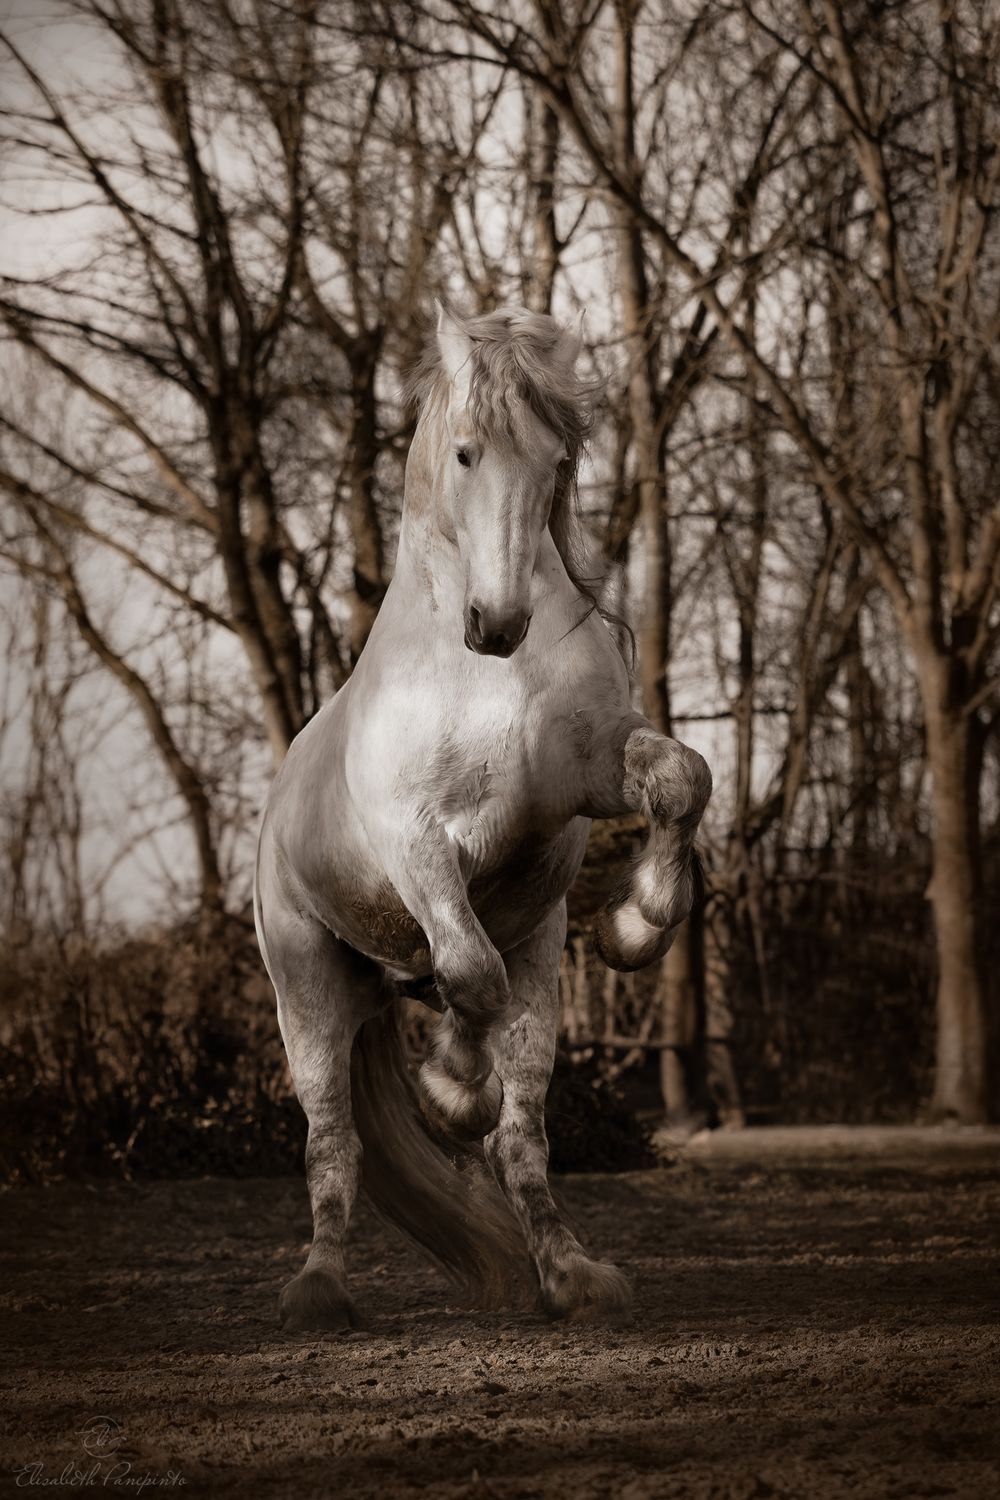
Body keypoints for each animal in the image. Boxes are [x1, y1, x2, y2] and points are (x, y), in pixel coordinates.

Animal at [254, 302, 712, 1329]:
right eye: (466, 453)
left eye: (557, 461)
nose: (496, 624)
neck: (482, 679)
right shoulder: (420, 844)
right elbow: (466, 964)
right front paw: (451, 1086)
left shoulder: (585, 773)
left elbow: (680, 778)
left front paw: (636, 925)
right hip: (307, 988)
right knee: (333, 1143)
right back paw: (317, 1289)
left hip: (537, 962)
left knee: (520, 1137)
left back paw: (572, 1276)